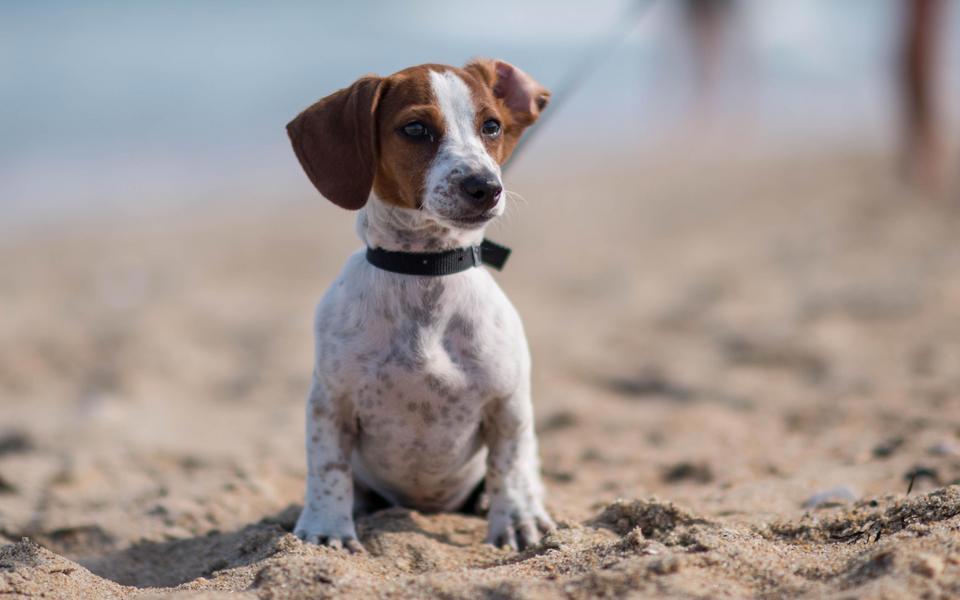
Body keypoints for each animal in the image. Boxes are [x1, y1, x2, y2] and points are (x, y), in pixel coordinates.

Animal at [286, 58, 556, 552]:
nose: (485, 187)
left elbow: (508, 467)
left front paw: (516, 520)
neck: (427, 271)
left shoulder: (507, 406)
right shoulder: (330, 404)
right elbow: (327, 469)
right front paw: (326, 529)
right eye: (415, 128)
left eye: (491, 126)